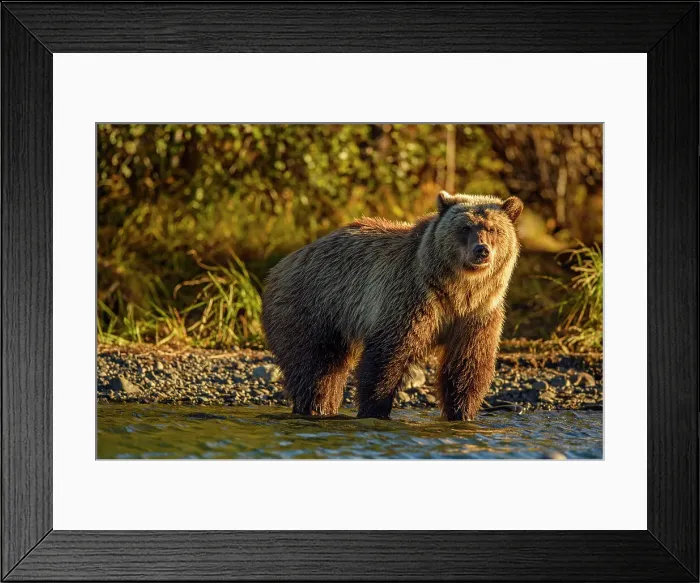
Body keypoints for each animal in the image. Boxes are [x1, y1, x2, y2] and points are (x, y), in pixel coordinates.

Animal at [262, 191, 523, 420]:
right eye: (465, 227)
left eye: (493, 229)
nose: (481, 250)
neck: (457, 291)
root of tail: (281, 265)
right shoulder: (410, 298)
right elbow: (387, 357)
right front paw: (375, 410)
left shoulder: (478, 313)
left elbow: (467, 366)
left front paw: (462, 413)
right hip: (311, 307)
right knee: (313, 369)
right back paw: (315, 407)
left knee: (329, 369)